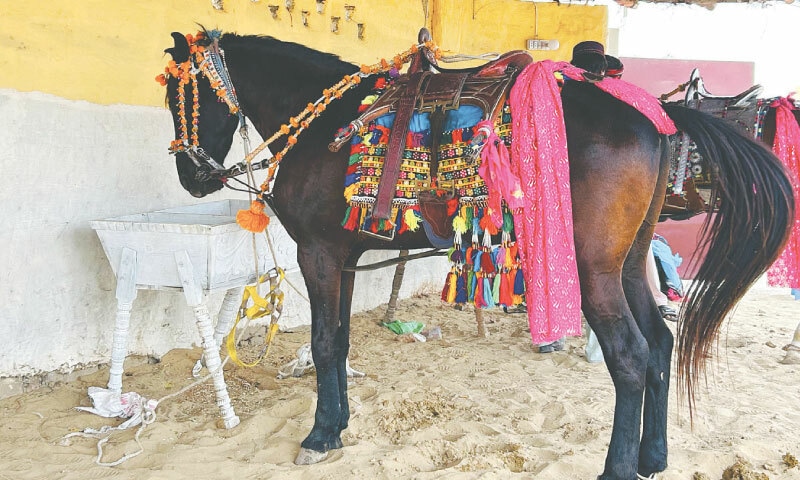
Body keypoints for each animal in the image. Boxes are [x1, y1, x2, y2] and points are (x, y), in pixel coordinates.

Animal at [160, 32, 794, 480]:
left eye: (177, 94)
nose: (192, 177)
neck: (327, 126)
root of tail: (656, 117)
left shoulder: (317, 254)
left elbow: (321, 344)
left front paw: (318, 437)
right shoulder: (343, 256)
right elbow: (337, 341)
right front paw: (336, 427)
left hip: (592, 272)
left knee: (633, 356)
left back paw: (618, 468)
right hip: (630, 264)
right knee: (660, 344)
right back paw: (653, 457)